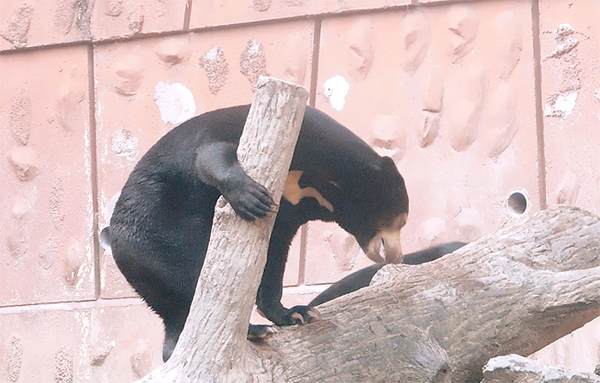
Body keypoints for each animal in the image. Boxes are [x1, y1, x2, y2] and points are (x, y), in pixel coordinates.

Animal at [106, 103, 408, 362]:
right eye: (400, 222)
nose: (397, 256)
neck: (320, 184)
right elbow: (210, 153)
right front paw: (253, 198)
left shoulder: (289, 213)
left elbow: (275, 258)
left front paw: (296, 314)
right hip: (157, 242)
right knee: (188, 283)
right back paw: (251, 330)